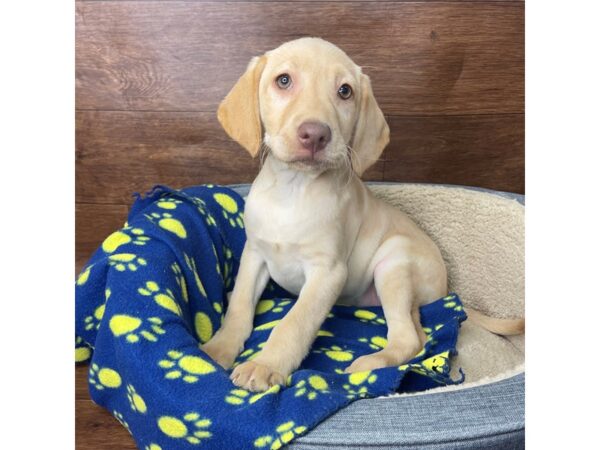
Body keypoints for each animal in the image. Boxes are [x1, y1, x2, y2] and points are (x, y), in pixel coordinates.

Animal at [203, 37, 524, 390]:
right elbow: (239, 305)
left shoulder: (328, 272)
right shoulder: (254, 254)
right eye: (283, 81)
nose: (315, 134)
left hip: (393, 263)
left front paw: (266, 364)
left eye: (345, 91)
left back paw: (369, 367)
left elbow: (295, 321)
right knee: (420, 334)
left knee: (408, 338)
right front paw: (218, 349)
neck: (293, 190)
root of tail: (446, 288)